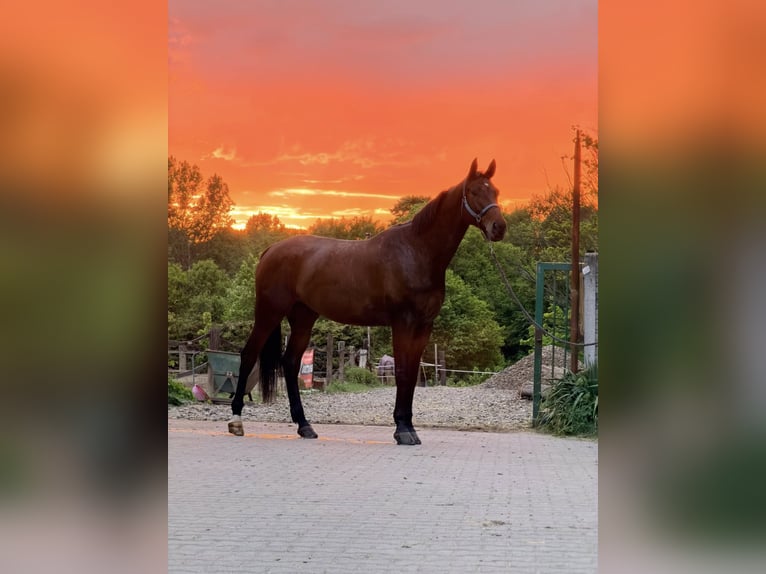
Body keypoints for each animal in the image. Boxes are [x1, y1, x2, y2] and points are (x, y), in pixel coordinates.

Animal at [228, 158, 507, 445]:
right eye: (474, 191)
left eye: (495, 191)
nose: (499, 228)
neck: (415, 252)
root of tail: (271, 250)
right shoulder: (403, 323)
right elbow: (402, 372)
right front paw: (403, 429)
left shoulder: (424, 326)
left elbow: (412, 373)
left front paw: (409, 427)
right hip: (269, 312)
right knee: (249, 355)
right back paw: (236, 420)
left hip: (303, 318)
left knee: (291, 363)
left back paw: (305, 426)